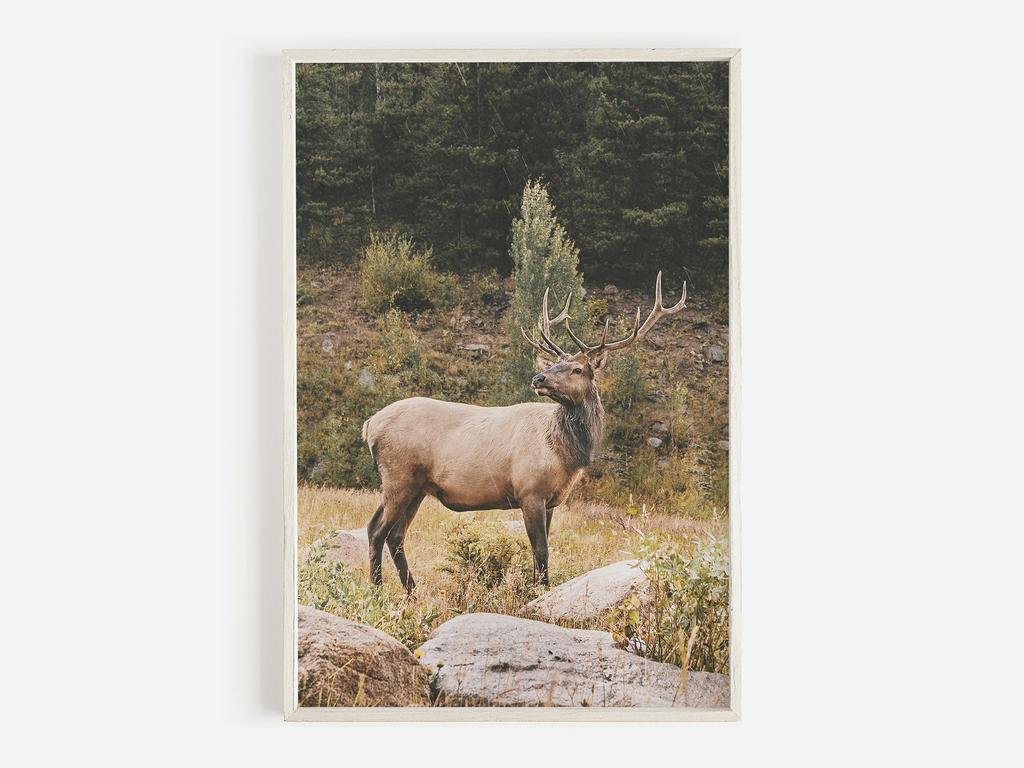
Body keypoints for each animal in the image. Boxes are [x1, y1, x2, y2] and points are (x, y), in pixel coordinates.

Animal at [361, 272, 687, 592]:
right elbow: (541, 550)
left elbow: (537, 550)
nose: (538, 377)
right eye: (556, 363)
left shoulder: (551, 499)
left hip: (417, 486)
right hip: (399, 476)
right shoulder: (530, 490)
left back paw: (411, 592)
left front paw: (535, 589)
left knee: (395, 535)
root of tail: (370, 425)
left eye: (577, 369)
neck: (566, 455)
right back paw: (377, 591)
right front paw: (539, 592)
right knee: (377, 530)